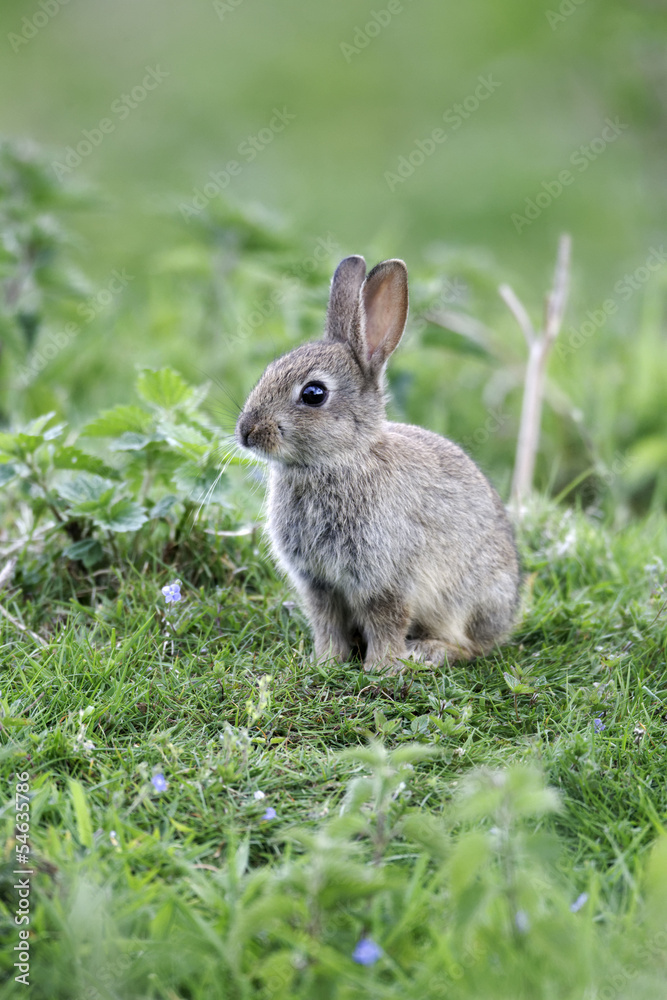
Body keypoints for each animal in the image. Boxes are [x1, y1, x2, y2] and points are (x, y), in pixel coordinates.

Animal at [235, 255, 520, 673]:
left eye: (314, 393)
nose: (246, 432)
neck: (339, 460)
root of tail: (509, 615)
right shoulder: (318, 583)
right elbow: (326, 622)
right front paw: (324, 662)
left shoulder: (387, 578)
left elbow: (387, 620)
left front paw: (381, 668)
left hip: (468, 600)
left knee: (470, 646)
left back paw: (428, 652)